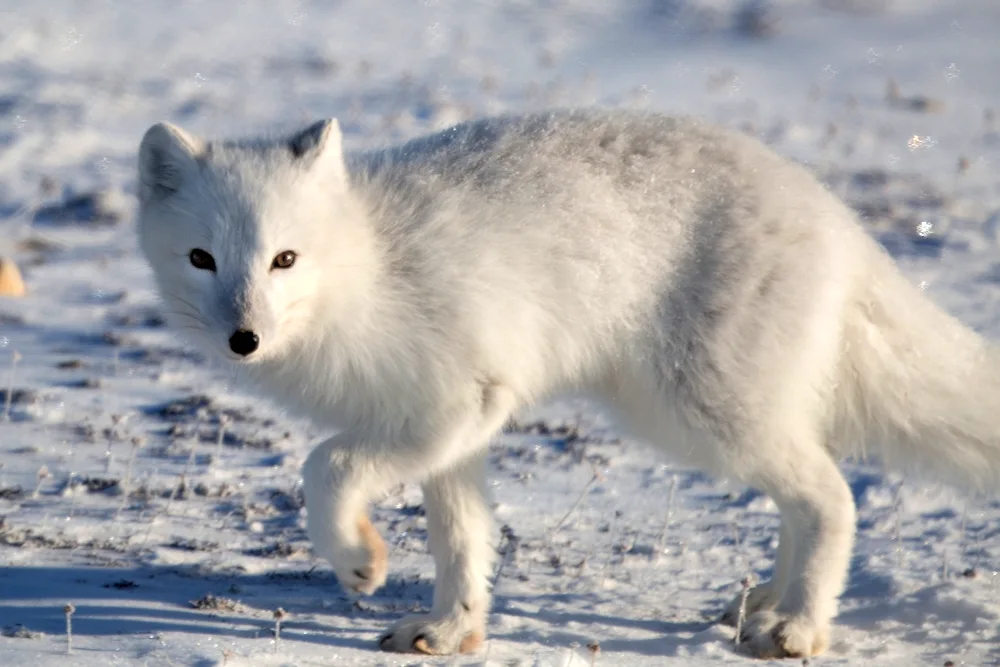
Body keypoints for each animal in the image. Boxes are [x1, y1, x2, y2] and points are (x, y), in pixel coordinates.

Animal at [135, 108, 1000, 656]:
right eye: (201, 259)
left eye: (285, 258)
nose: (243, 339)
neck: (368, 270)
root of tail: (843, 223)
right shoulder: (452, 429)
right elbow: (463, 538)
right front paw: (451, 630)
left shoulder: (456, 402)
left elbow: (327, 463)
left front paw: (358, 561)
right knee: (804, 494)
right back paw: (763, 605)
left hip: (698, 410)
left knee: (832, 496)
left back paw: (798, 629)